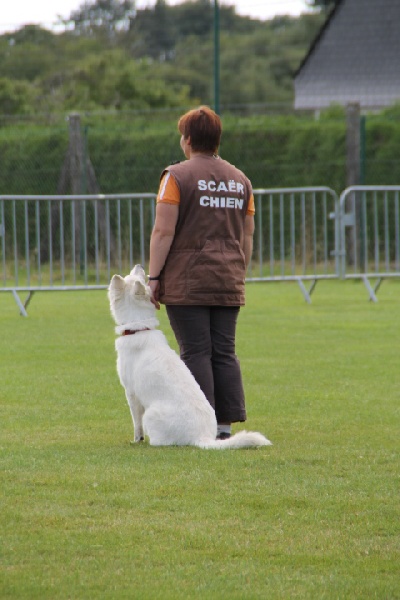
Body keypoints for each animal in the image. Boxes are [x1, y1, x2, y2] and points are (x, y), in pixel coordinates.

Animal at [109, 264, 272, 448]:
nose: (140, 265)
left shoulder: (131, 393)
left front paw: (137, 440)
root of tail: (202, 436)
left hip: (151, 414)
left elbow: (136, 423)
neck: (138, 328)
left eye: (131, 277)